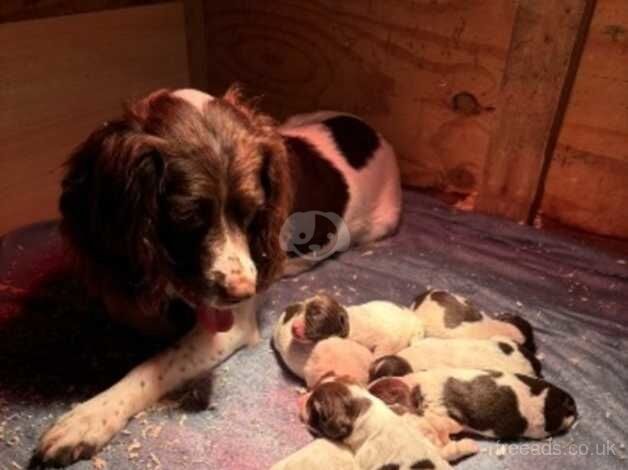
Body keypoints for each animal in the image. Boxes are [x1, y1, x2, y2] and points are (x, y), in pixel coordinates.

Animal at [35, 88, 402, 466]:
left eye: (255, 211)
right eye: (187, 217)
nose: (244, 292)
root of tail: (373, 134)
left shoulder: (228, 327)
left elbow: (155, 365)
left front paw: (91, 416)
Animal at [288, 294, 424, 356]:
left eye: (316, 315)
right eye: (301, 310)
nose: (293, 327)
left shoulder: (385, 342)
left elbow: (380, 352)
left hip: (416, 332)